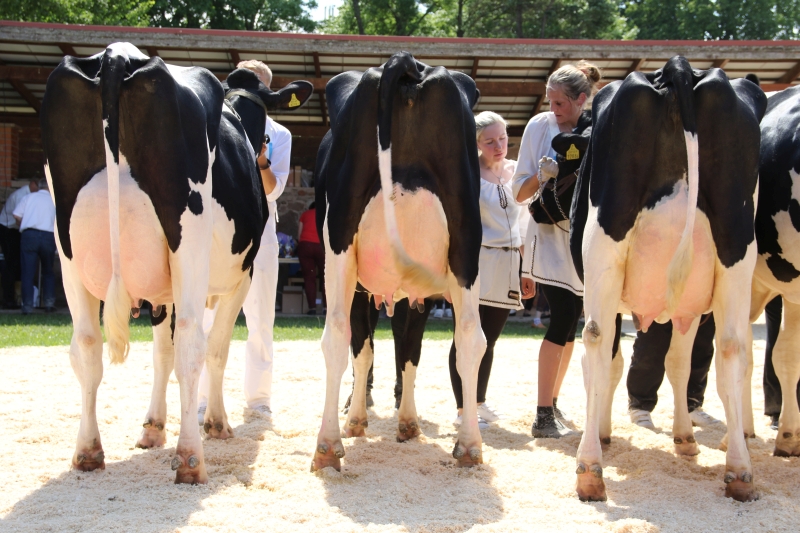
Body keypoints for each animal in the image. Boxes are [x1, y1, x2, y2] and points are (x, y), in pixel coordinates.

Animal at [40, 42, 312, 484]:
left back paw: (87, 452)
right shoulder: (240, 276)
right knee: (191, 341)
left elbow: (160, 354)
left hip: (67, 250)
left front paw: (152, 428)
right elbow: (214, 349)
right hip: (188, 243)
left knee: (86, 344)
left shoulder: (161, 287)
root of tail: (118, 55)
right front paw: (215, 423)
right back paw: (190, 459)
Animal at [311, 51, 486, 471]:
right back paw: (469, 446)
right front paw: (407, 422)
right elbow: (408, 351)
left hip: (339, 244)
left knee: (337, 332)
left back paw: (327, 444)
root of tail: (410, 66)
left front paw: (358, 420)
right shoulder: (418, 292)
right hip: (466, 246)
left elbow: (366, 349)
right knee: (470, 336)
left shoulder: (364, 286)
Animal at [570, 56, 766, 502]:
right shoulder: (690, 305)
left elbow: (610, 363)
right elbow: (678, 361)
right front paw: (685, 438)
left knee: (596, 337)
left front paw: (604, 434)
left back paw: (589, 470)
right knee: (732, 346)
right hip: (736, 247)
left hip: (604, 244)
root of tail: (678, 69)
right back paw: (740, 470)